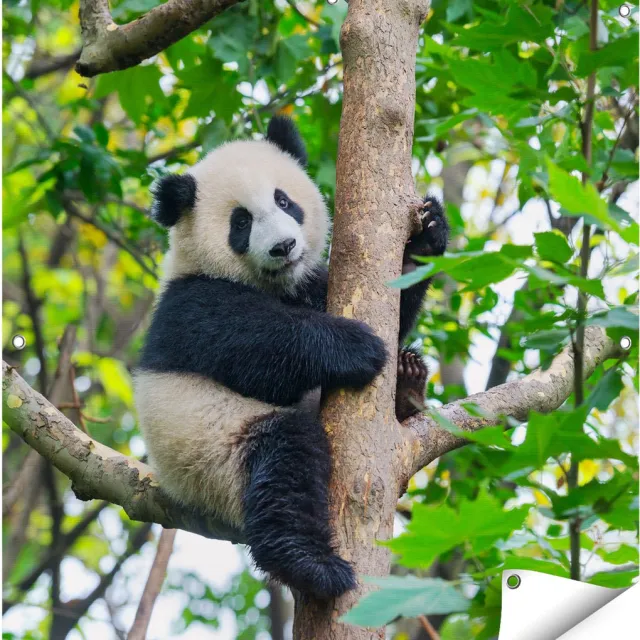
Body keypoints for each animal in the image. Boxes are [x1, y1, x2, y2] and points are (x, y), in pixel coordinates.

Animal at [134, 116, 448, 600]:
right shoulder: (191, 306)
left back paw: (407, 381)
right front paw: (356, 347)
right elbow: (257, 350)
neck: (271, 283)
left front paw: (427, 235)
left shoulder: (308, 285)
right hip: (213, 453)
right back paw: (311, 564)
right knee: (285, 462)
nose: (283, 246)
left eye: (284, 200)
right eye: (241, 222)